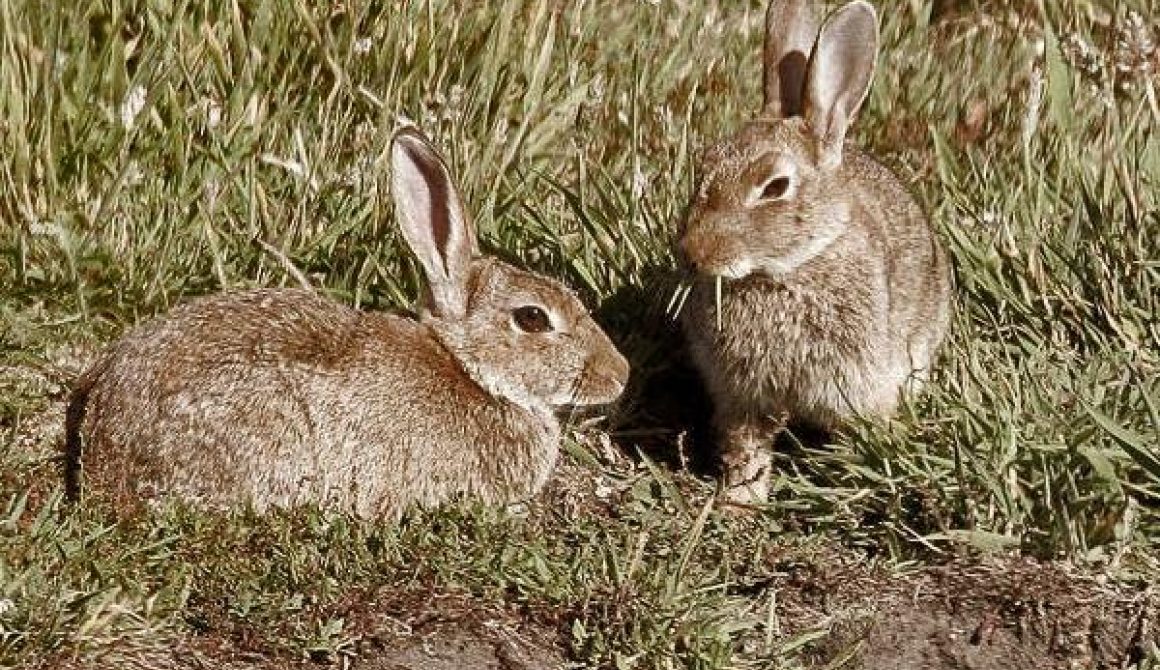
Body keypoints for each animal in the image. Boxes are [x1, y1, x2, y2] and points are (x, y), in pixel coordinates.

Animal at [677, 0, 951, 500]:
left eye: (775, 187)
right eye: (704, 164)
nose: (693, 253)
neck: (784, 271)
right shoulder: (742, 395)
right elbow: (747, 448)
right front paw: (739, 502)